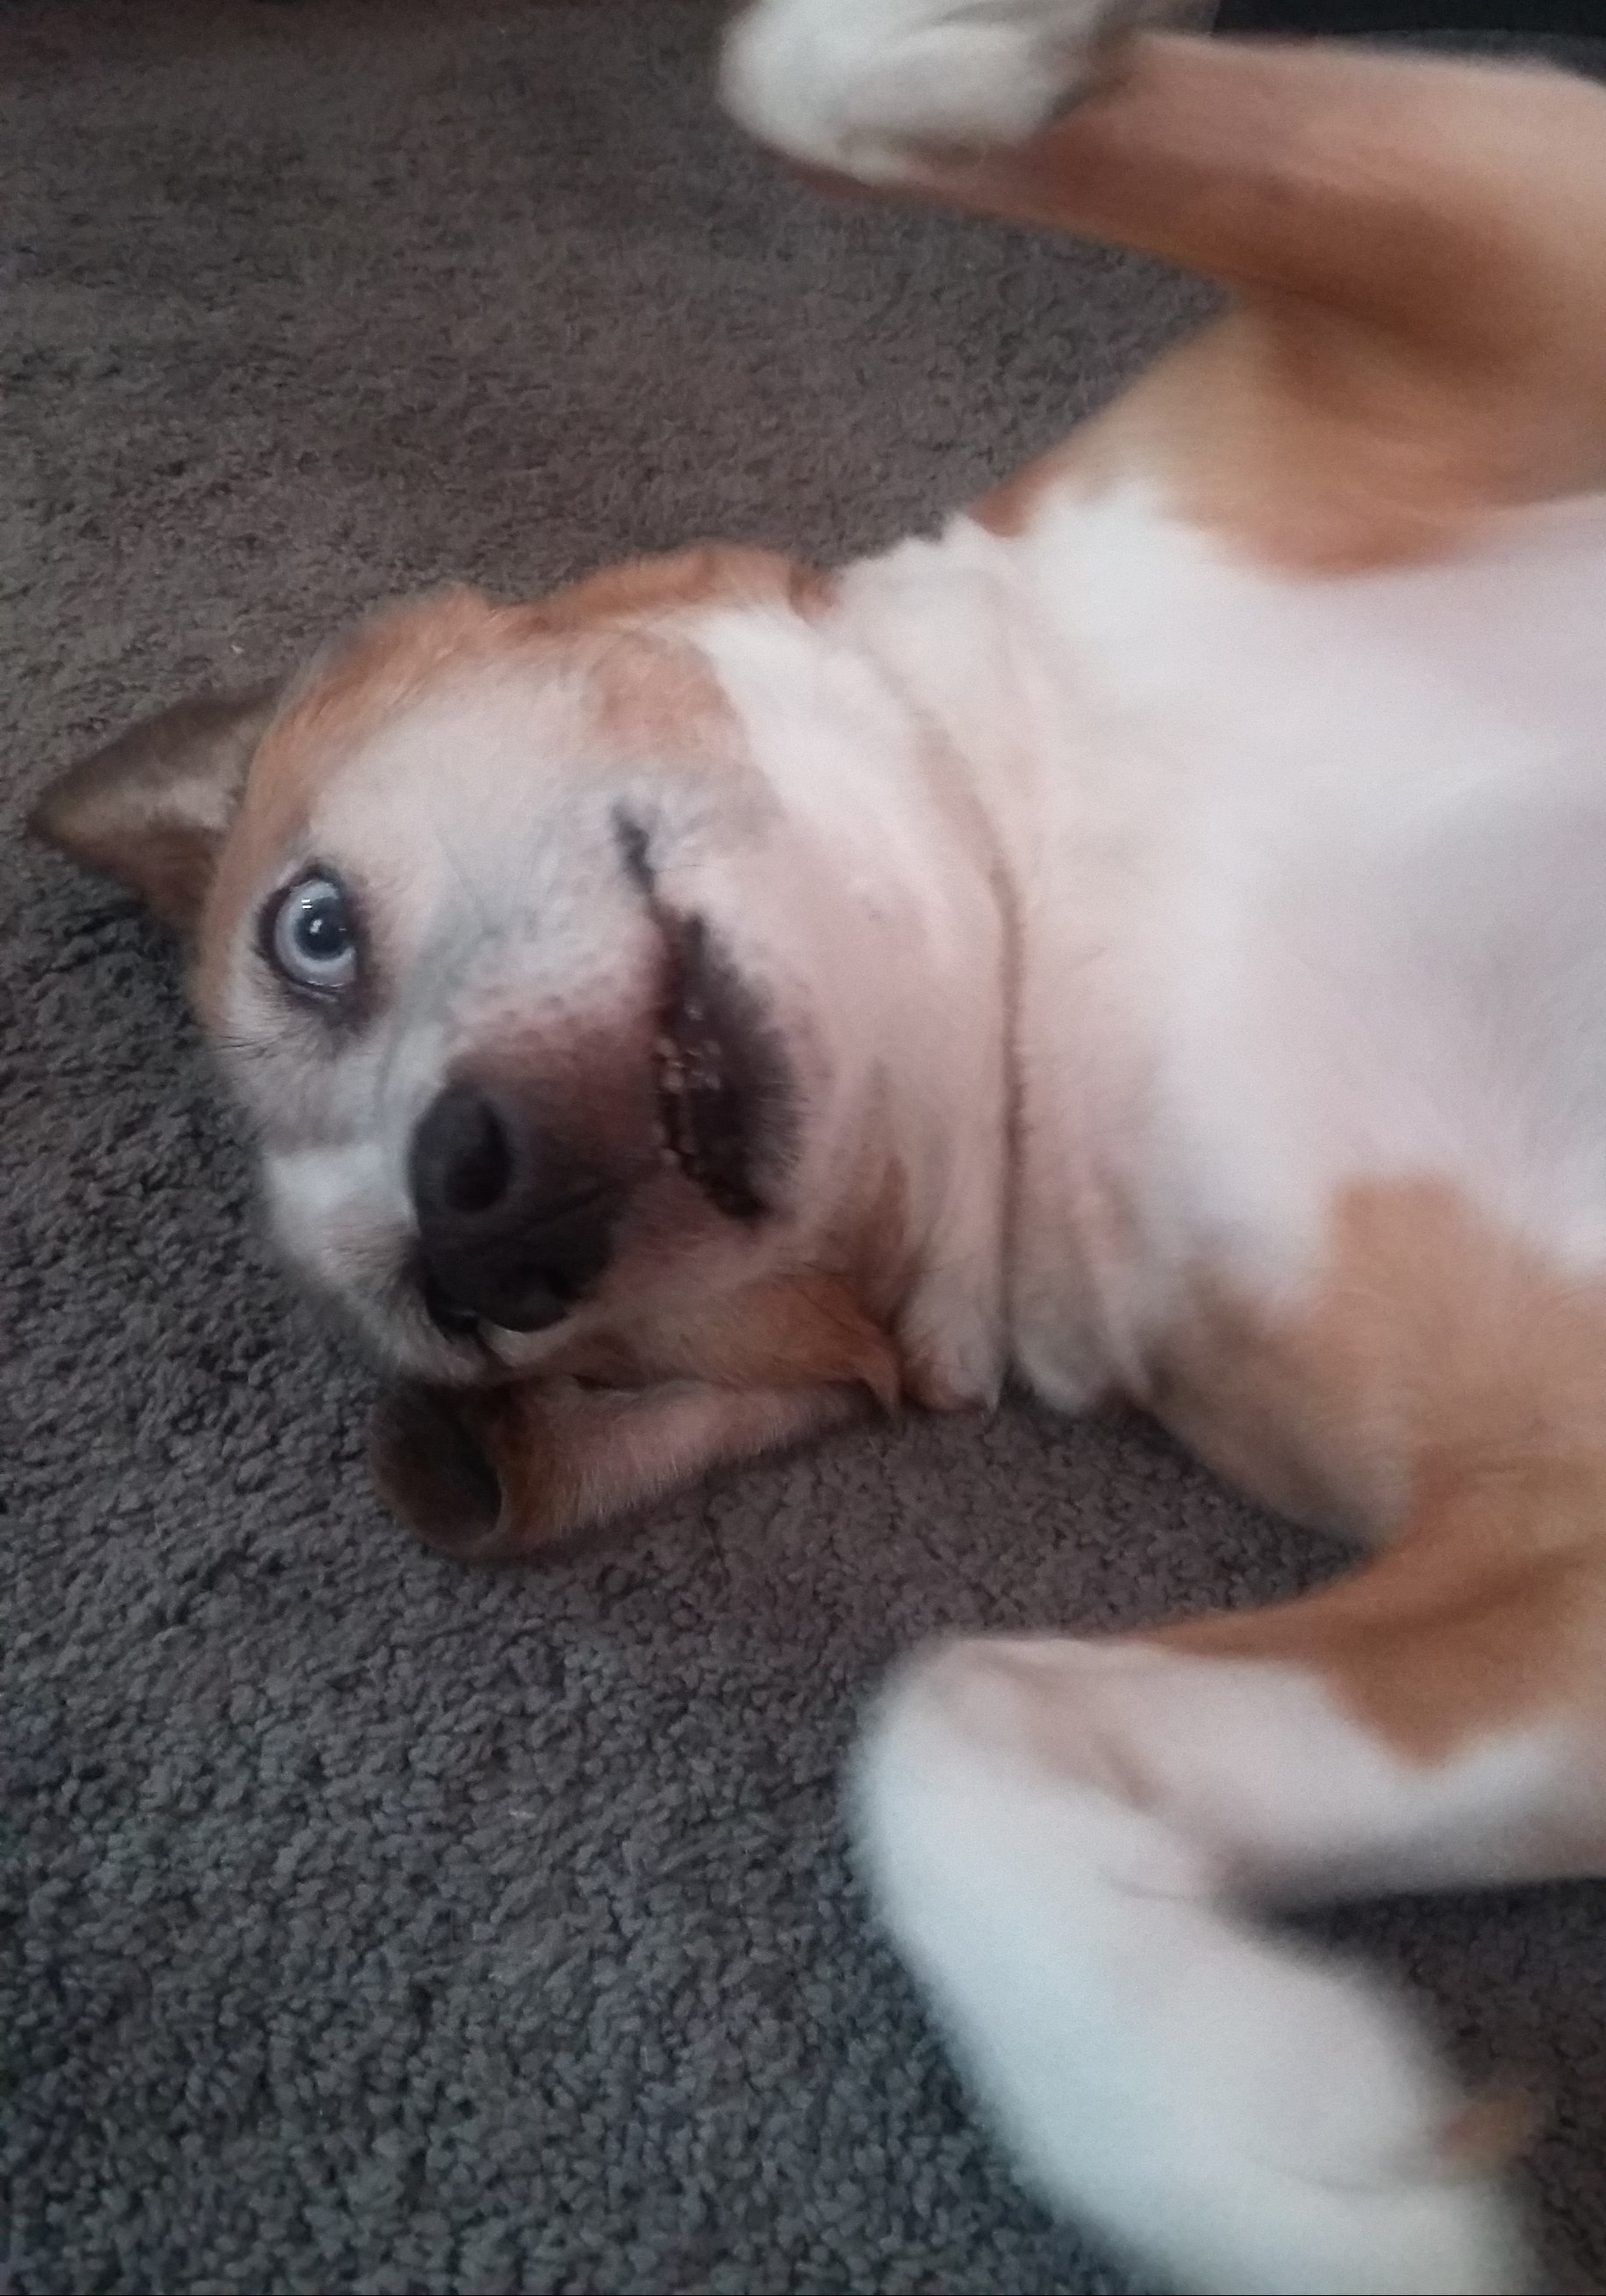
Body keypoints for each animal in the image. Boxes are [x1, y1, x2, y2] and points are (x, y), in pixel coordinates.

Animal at [29, 3, 1606, 2287]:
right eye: (498, 1337)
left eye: (305, 928)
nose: (477, 1214)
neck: (1042, 907)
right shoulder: (1555, 1535)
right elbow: (947, 1735)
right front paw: (1274, 2139)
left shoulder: (1526, 239)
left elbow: (796, 80)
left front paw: (983, 49)